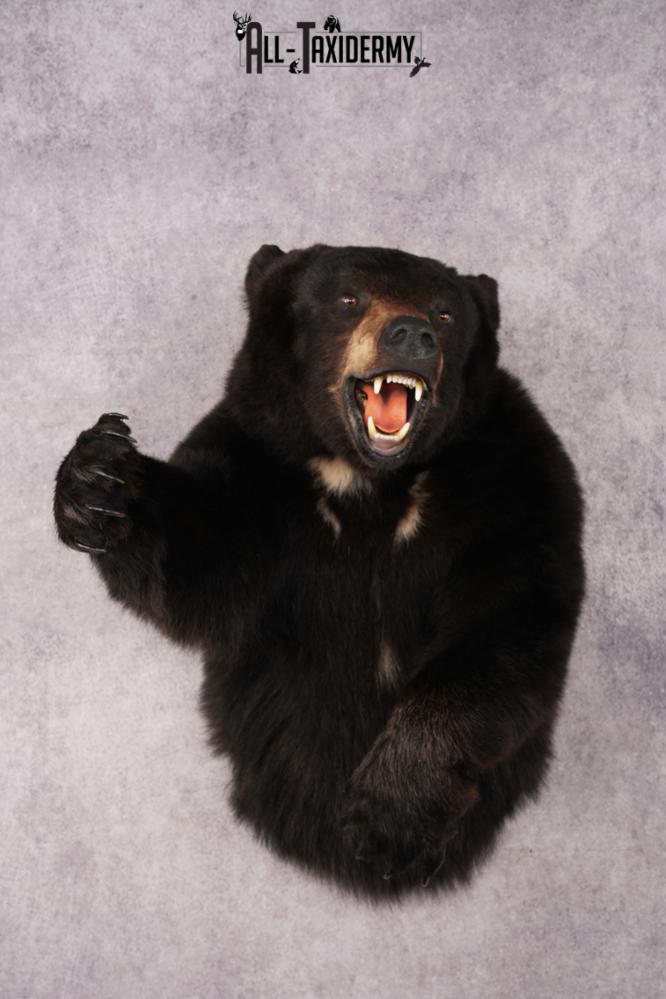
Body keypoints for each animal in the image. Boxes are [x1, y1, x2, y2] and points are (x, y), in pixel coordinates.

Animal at [53, 243, 585, 900]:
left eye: (445, 312)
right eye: (348, 298)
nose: (411, 335)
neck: (372, 481)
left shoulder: (511, 477)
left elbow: (506, 623)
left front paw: (391, 818)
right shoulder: (258, 461)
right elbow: (202, 569)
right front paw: (100, 477)